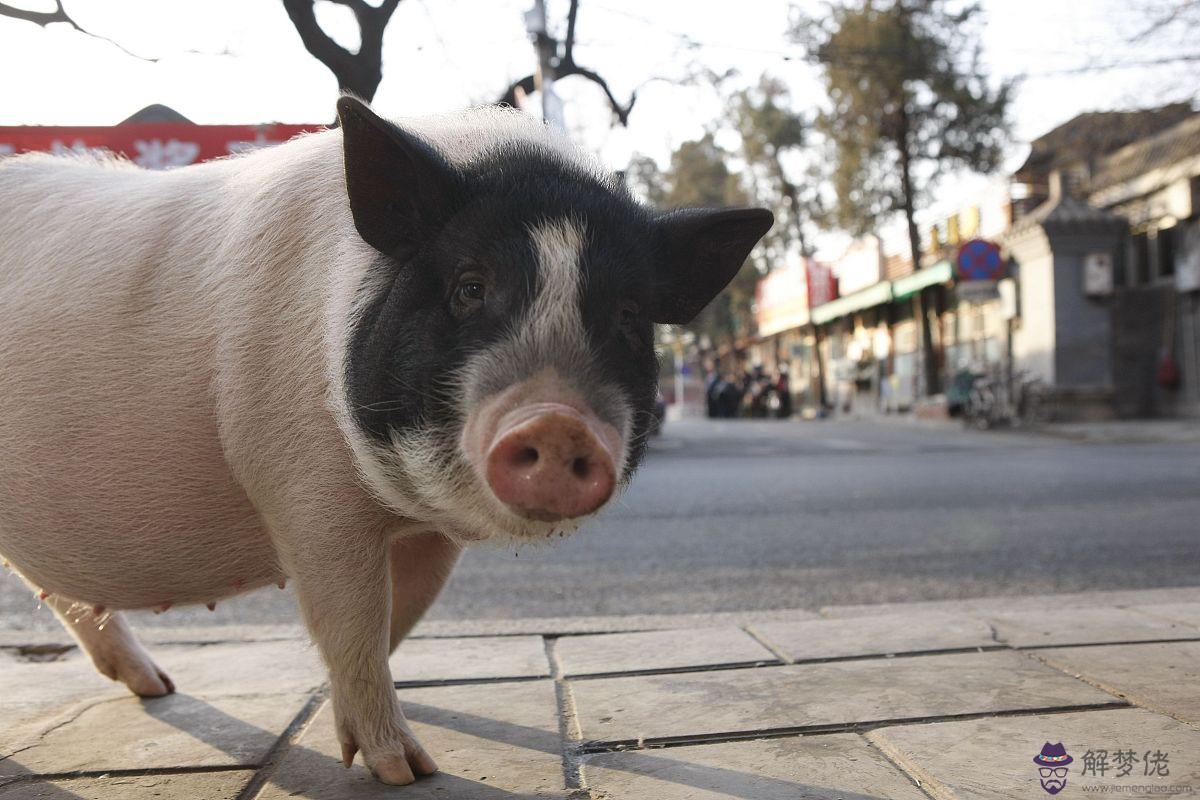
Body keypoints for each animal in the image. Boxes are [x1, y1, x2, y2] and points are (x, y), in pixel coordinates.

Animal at [0, 97, 768, 786]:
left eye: (629, 315)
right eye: (469, 287)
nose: (556, 421)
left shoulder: (430, 532)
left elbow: (401, 616)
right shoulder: (303, 493)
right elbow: (354, 622)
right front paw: (409, 772)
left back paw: (158, 686)